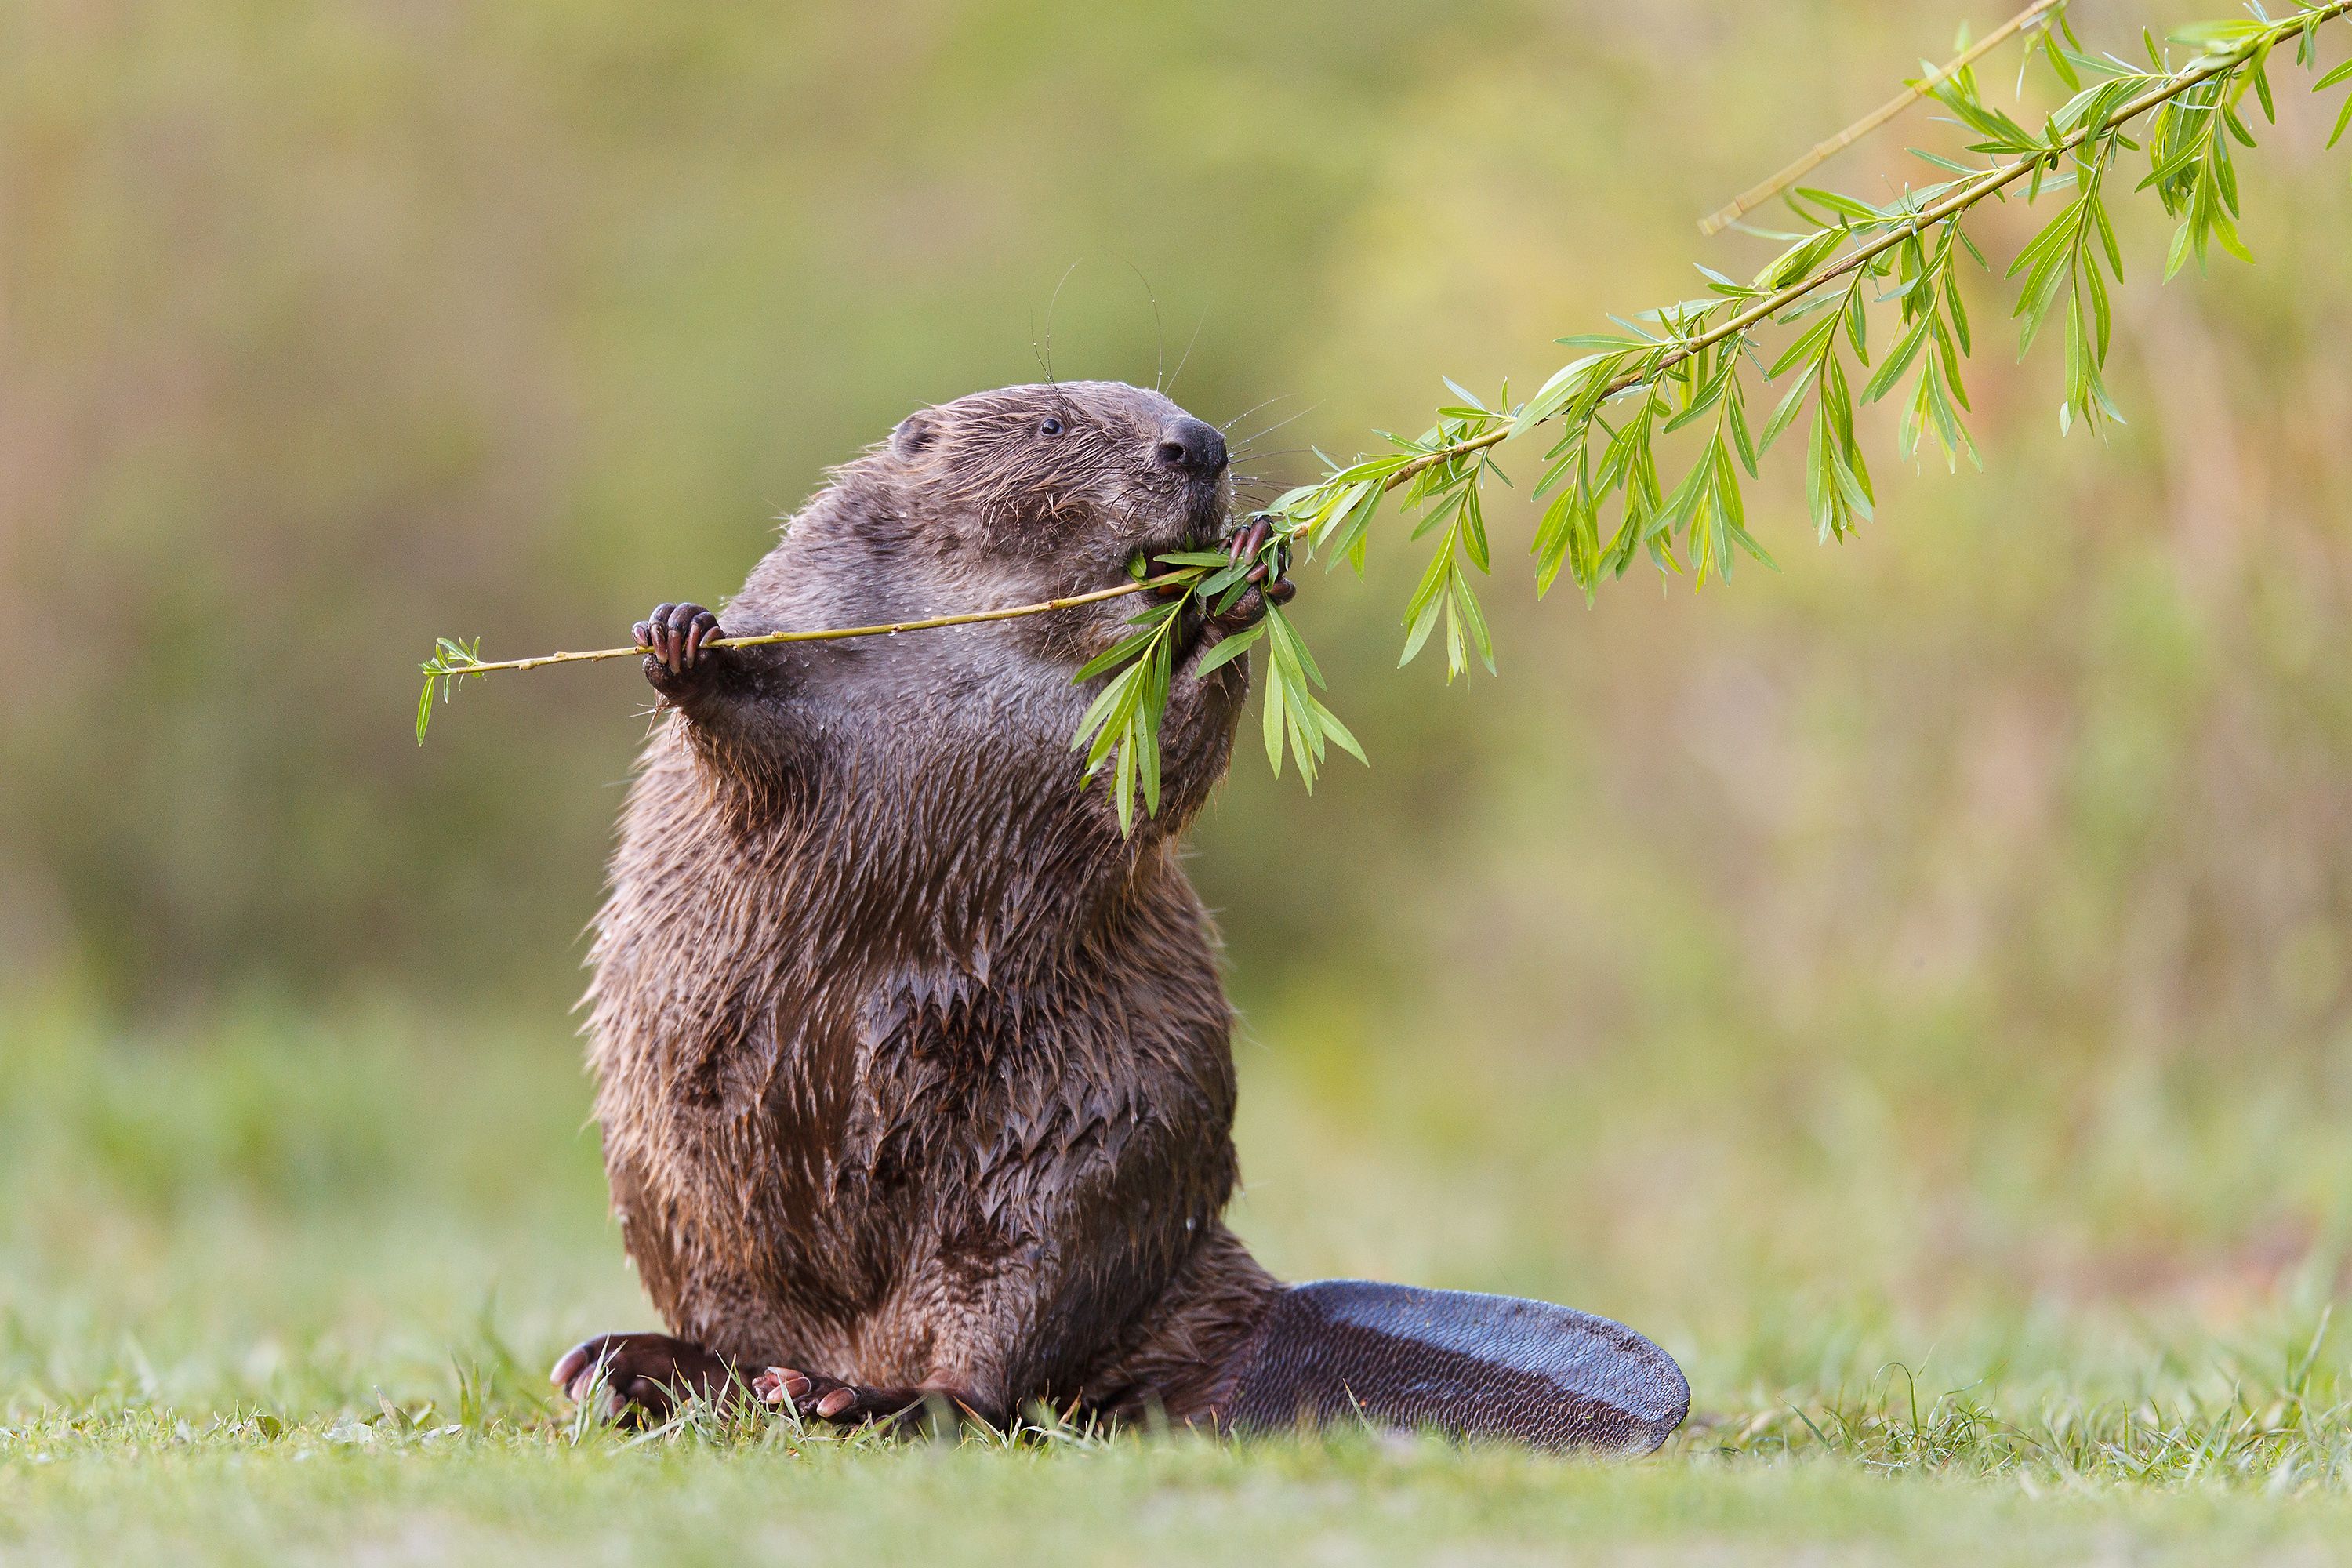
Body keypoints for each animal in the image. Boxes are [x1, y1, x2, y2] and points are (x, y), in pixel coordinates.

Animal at [550, 383, 1693, 1457]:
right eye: (1056, 423)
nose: (1199, 445)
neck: (997, 636)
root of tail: (1247, 1314)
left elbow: (1156, 766)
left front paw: (1246, 575)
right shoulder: (820, 608)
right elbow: (747, 747)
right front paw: (681, 638)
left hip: (1067, 1169)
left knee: (993, 1368)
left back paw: (845, 1396)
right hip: (691, 1214)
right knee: (753, 1340)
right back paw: (625, 1365)